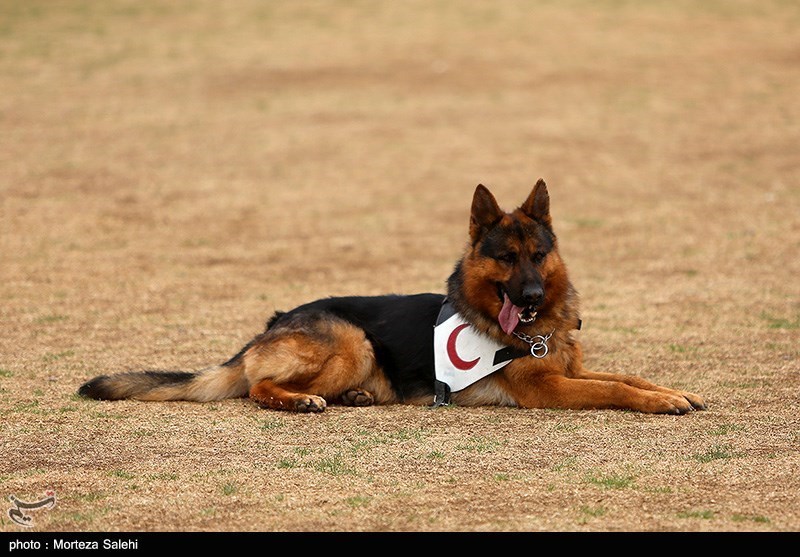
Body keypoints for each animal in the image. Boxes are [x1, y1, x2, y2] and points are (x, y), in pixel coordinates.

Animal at [79, 179, 708, 412]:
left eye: (537, 254)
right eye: (506, 258)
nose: (529, 294)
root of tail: (268, 326)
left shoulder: (569, 370)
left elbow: (630, 376)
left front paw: (676, 392)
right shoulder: (549, 388)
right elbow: (612, 389)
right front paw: (661, 403)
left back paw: (354, 397)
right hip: (352, 341)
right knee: (257, 389)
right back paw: (300, 400)